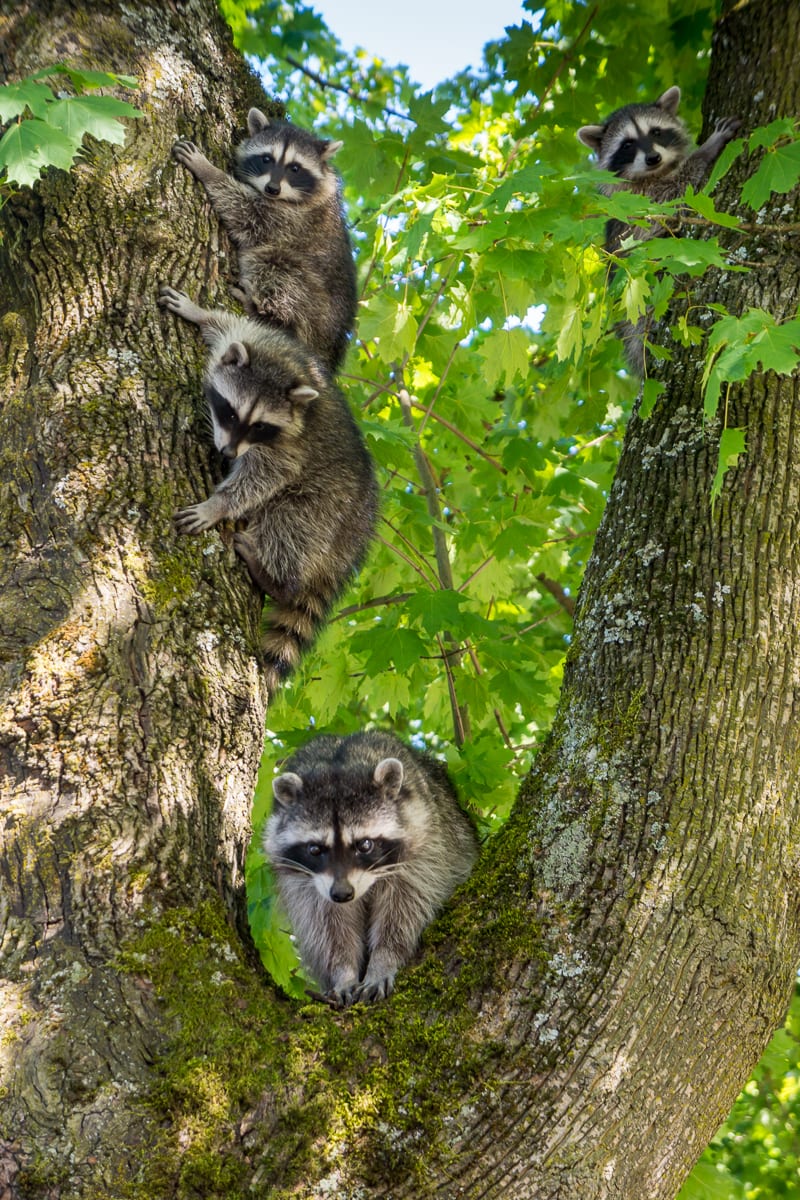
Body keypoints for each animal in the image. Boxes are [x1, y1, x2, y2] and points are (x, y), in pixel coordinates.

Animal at [159, 284, 379, 691]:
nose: (227, 452)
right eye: (230, 413)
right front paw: (197, 312)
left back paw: (275, 575)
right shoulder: (252, 338)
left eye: (259, 426)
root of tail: (352, 541)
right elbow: (222, 323)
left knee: (290, 523)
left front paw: (218, 504)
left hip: (330, 505)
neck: (283, 365)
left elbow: (266, 475)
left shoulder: (288, 447)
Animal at [173, 112, 357, 374]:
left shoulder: (293, 219)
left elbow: (246, 212)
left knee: (279, 269)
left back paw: (261, 309)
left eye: (295, 168)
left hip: (312, 302)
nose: (272, 188)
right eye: (267, 159)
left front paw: (207, 170)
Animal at [262, 729, 479, 1003]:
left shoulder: (425, 852)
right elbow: (328, 928)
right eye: (314, 849)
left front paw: (384, 960)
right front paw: (343, 972)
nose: (342, 894)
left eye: (364, 845)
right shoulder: (306, 884)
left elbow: (405, 910)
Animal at [578, 87, 743, 369]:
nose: (653, 157)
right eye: (628, 144)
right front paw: (705, 149)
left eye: (656, 132)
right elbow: (673, 196)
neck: (655, 172)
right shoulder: (639, 203)